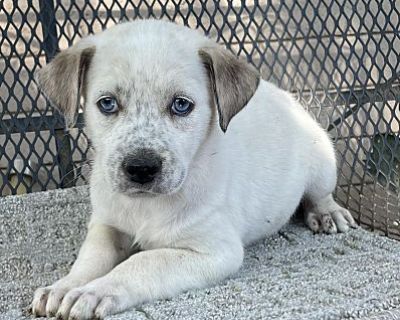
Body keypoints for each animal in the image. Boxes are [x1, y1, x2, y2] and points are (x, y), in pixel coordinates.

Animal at [31, 19, 356, 320]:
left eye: (181, 105)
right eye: (107, 103)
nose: (141, 169)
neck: (147, 206)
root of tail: (284, 95)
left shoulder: (213, 251)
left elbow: (143, 263)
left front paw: (94, 291)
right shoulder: (106, 224)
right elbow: (91, 256)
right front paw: (64, 287)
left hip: (322, 161)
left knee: (319, 194)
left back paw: (328, 213)